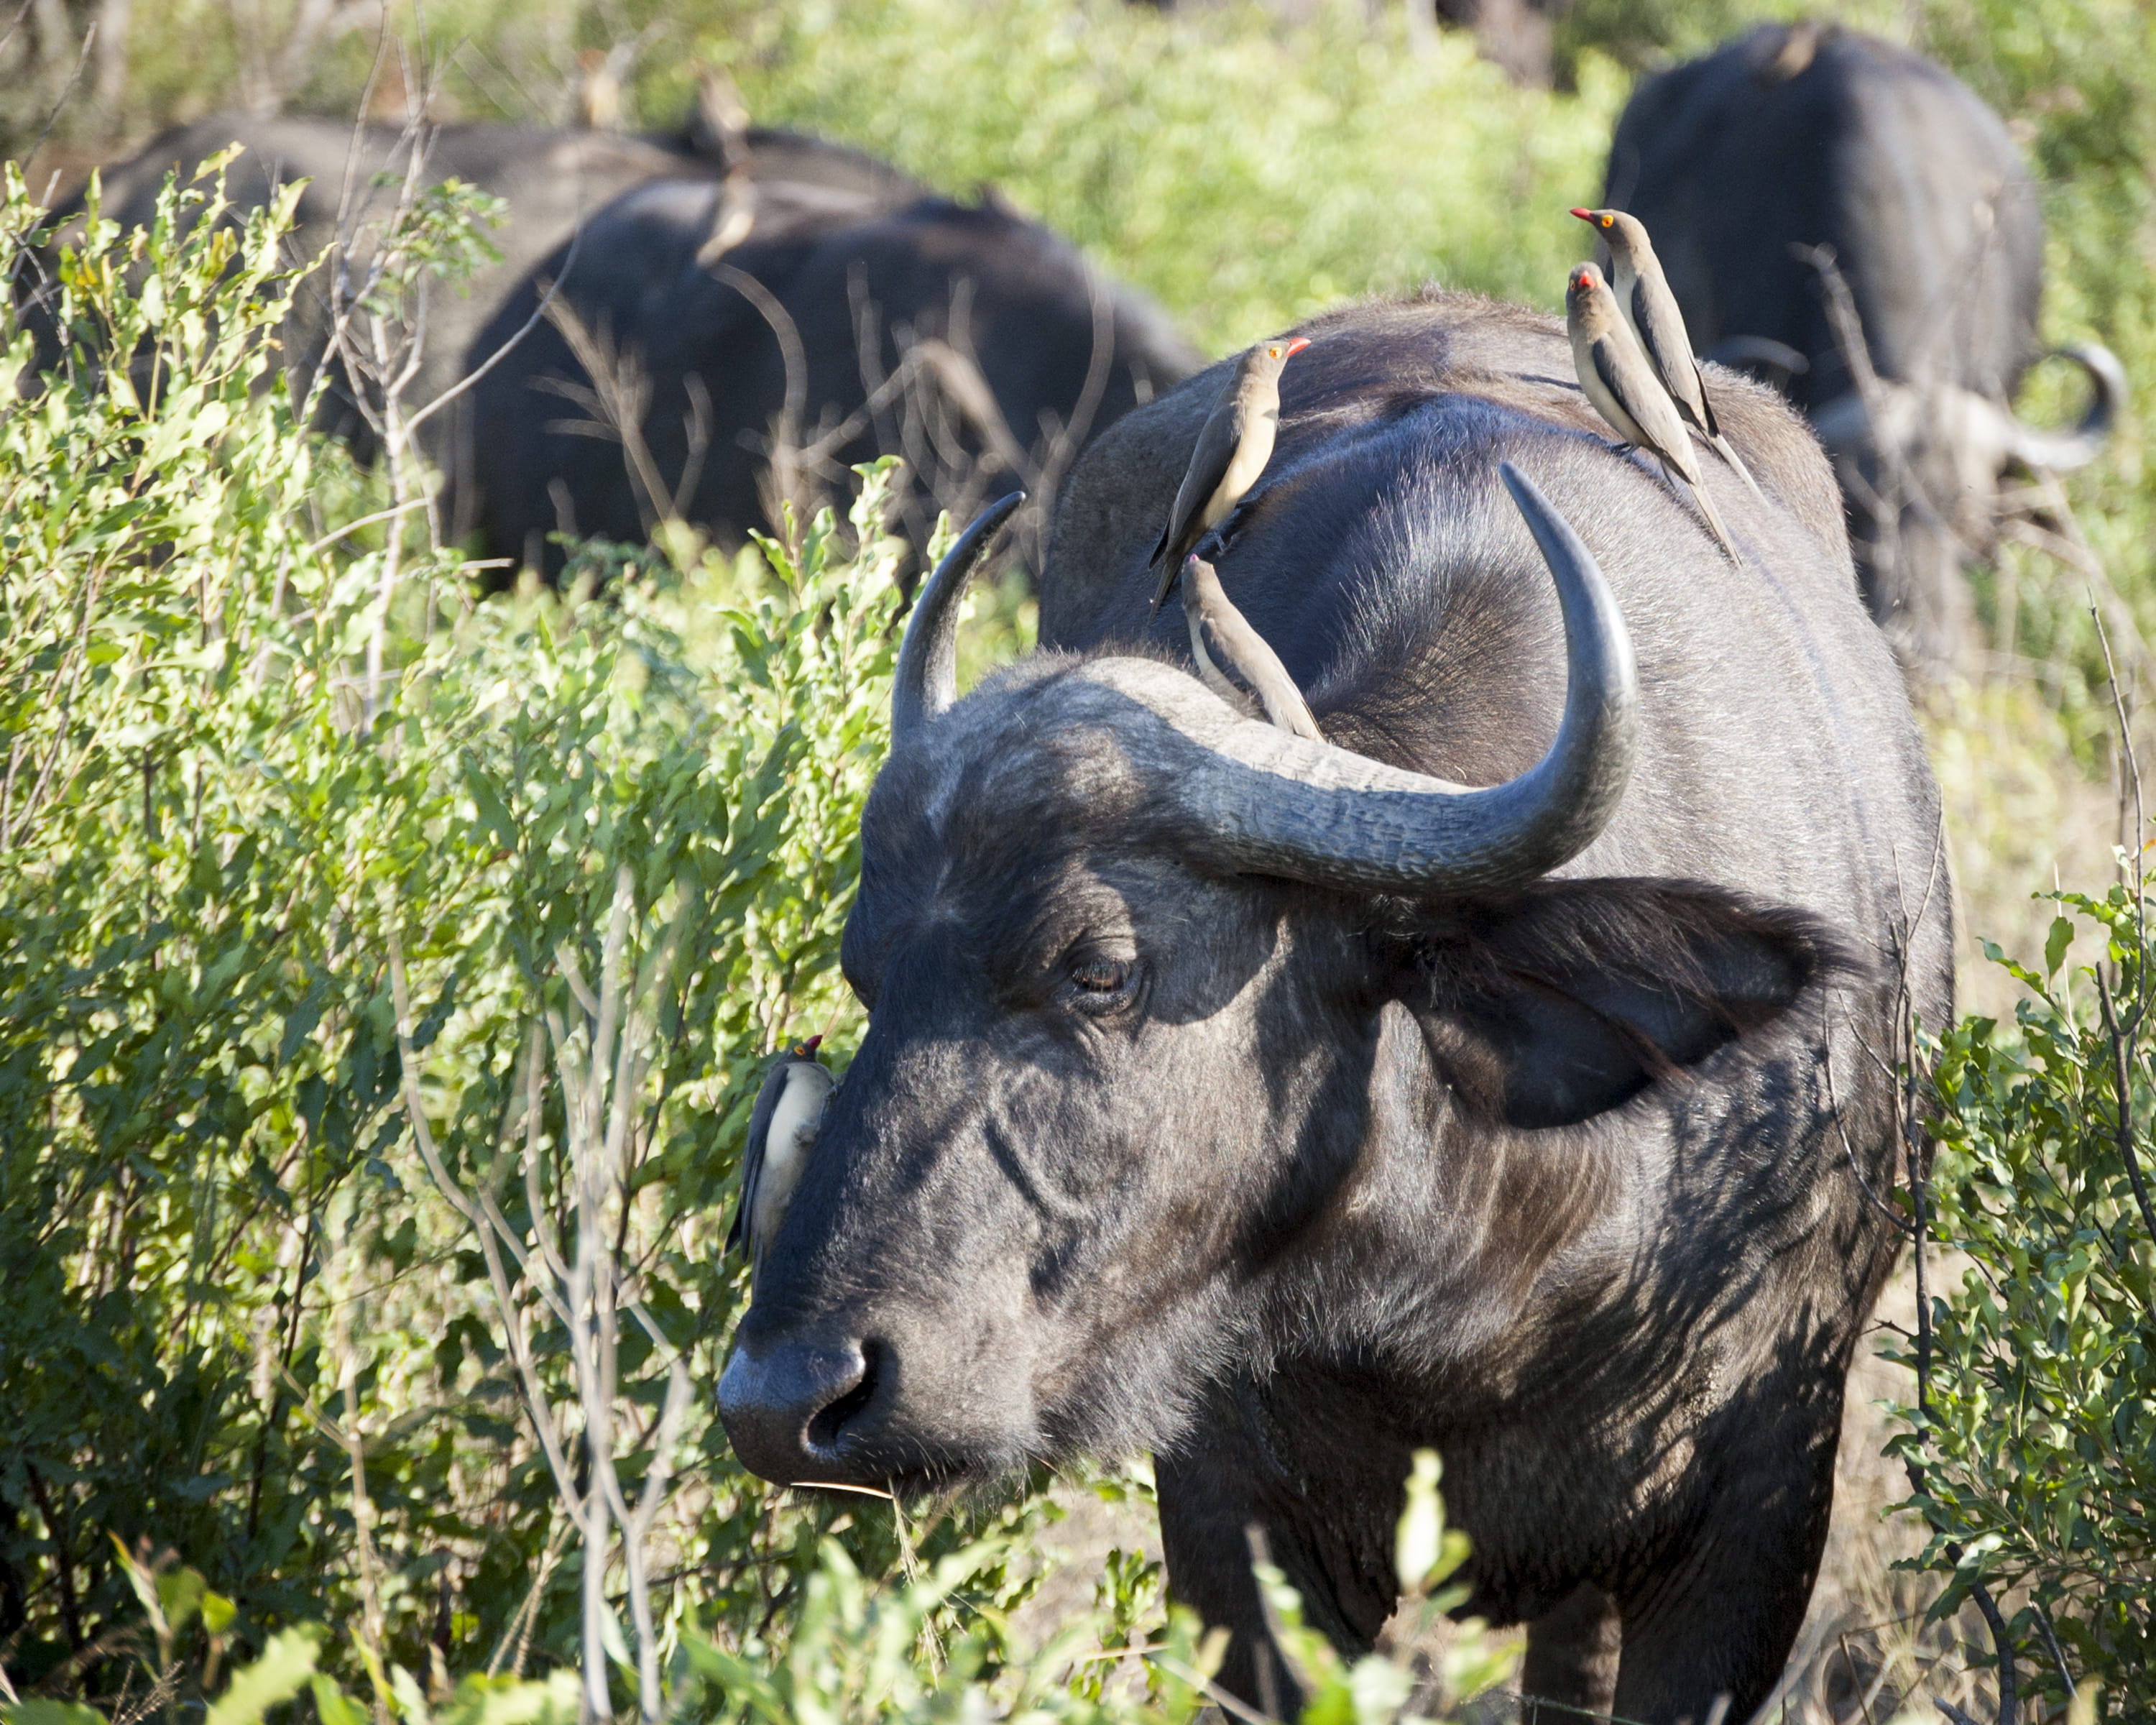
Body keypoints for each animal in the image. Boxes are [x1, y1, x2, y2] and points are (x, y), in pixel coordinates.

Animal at [716, 293, 1951, 1717]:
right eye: (869, 971)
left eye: (1101, 967)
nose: (786, 1397)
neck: (1460, 1296)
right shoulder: (1232, 1525)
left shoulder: (1756, 1518)